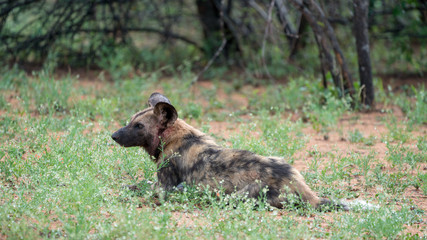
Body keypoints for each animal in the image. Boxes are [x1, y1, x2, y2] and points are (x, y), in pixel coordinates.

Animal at [111, 92, 348, 210]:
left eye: (138, 126)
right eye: (131, 121)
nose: (113, 135)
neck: (173, 136)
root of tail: (301, 188)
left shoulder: (162, 187)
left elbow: (139, 186)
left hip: (238, 196)